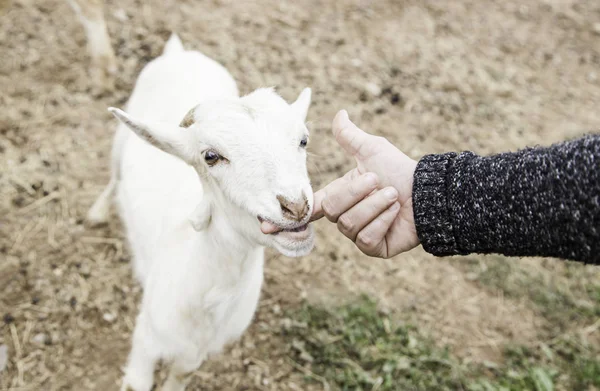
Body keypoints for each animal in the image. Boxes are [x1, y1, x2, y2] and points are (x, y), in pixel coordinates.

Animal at [88, 34, 316, 391]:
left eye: (303, 141)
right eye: (211, 156)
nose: (296, 206)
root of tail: (179, 53)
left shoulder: (193, 357)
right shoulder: (146, 338)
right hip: (119, 140)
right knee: (113, 175)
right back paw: (97, 212)